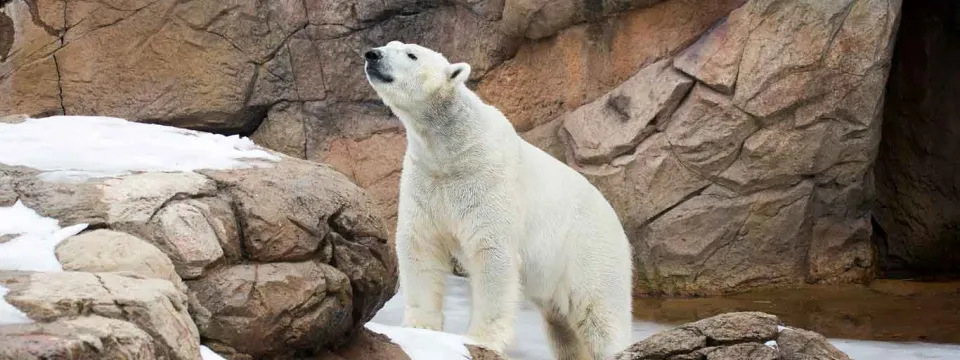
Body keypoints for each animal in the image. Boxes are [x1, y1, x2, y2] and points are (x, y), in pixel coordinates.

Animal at [364, 40, 632, 358]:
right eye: (389, 45)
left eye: (411, 54)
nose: (372, 55)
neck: (453, 148)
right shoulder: (426, 178)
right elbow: (420, 244)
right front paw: (419, 328)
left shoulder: (488, 178)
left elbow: (492, 251)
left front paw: (482, 339)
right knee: (561, 329)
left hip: (589, 251)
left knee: (600, 315)